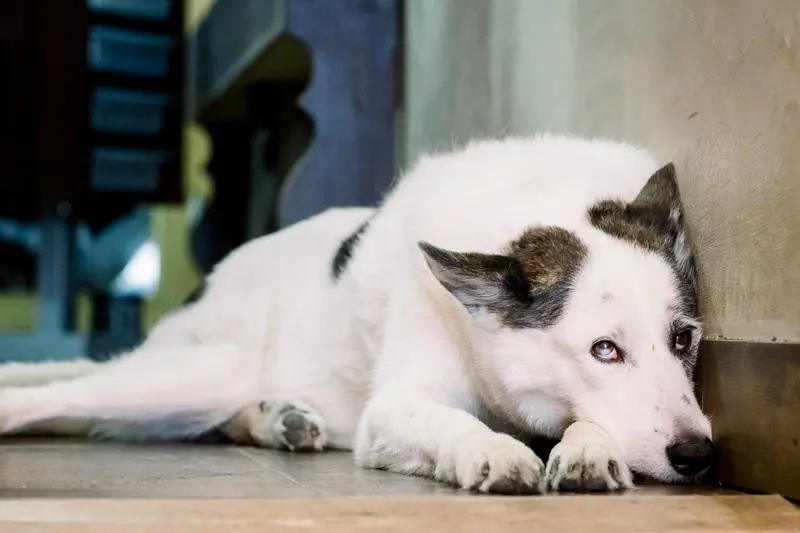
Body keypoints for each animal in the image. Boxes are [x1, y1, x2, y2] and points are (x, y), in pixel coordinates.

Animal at [0, 134, 712, 494]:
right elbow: (454, 424)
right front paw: (491, 450)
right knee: (63, 397)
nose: (698, 456)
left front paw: (587, 448)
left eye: (684, 339)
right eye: (603, 350)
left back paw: (278, 420)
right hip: (194, 373)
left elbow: (587, 426)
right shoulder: (394, 409)